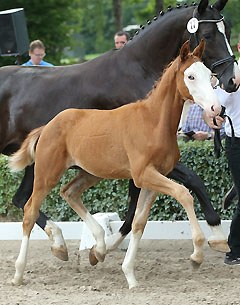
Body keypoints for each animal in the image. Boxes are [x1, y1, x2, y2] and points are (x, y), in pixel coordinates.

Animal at [10, 40, 222, 288]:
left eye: (209, 75)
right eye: (190, 76)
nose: (216, 109)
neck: (153, 122)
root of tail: (47, 126)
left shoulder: (154, 178)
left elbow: (139, 222)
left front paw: (130, 275)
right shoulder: (143, 174)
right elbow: (184, 193)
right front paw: (197, 254)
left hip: (91, 172)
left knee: (69, 192)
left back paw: (99, 248)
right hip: (46, 174)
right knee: (29, 211)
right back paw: (20, 272)